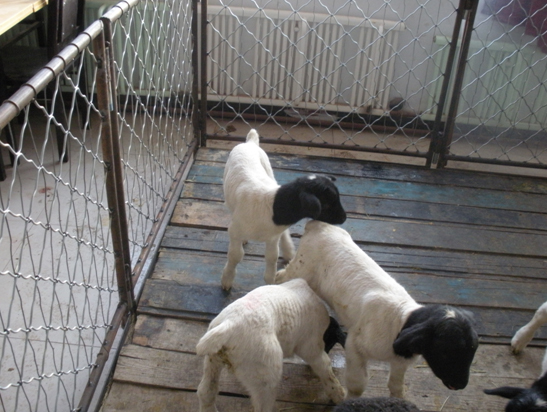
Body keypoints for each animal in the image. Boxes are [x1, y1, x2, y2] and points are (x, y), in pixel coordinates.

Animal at [196, 278, 347, 412]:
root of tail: (229, 324)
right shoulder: (312, 346)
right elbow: (325, 368)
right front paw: (339, 395)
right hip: (266, 373)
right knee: (262, 406)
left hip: (213, 359)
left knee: (206, 391)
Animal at [221, 128, 346, 290]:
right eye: (326, 204)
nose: (344, 218)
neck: (271, 206)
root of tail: (250, 142)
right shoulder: (235, 231)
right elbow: (236, 255)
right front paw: (227, 279)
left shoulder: (272, 238)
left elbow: (272, 257)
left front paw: (270, 283)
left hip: (269, 171)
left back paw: (288, 249)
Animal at [275, 220, 479, 398]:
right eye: (445, 351)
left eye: (472, 350)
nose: (461, 384)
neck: (400, 320)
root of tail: (318, 225)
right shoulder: (355, 344)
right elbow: (357, 385)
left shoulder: (400, 360)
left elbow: (396, 386)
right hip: (301, 267)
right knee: (281, 276)